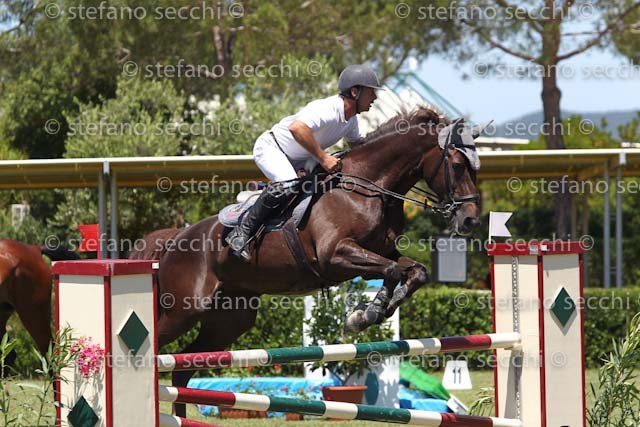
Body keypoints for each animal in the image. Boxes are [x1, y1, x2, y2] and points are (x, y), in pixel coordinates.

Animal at [130, 107, 481, 417]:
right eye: (457, 165)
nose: (470, 221)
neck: (367, 188)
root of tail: (177, 237)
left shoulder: (381, 250)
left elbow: (415, 271)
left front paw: (374, 311)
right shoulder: (336, 255)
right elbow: (393, 269)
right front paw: (365, 314)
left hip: (229, 320)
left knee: (182, 369)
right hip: (184, 310)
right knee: (163, 347)